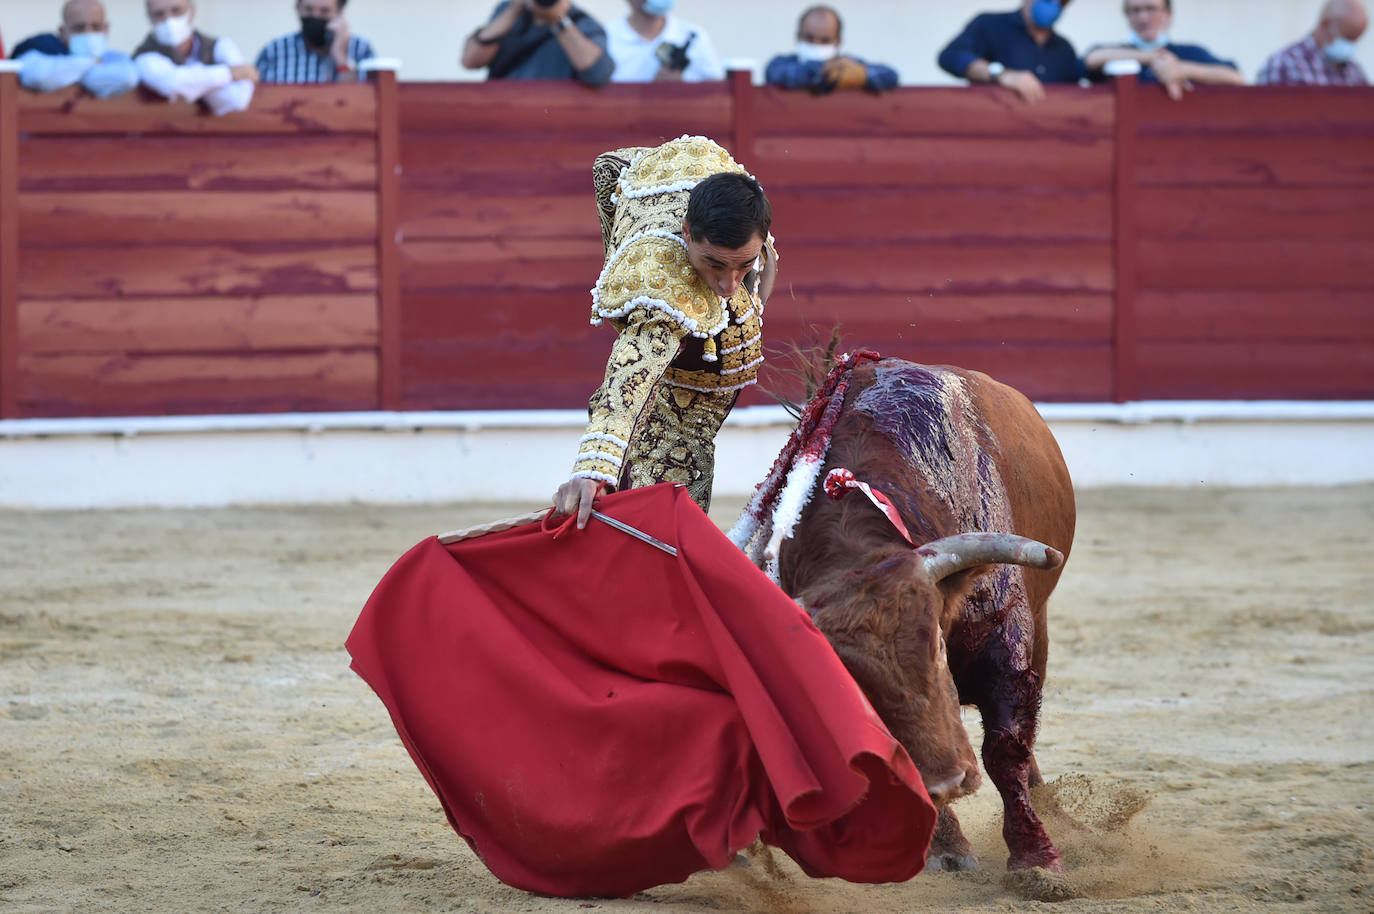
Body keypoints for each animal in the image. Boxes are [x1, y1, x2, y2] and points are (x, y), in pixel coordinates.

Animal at [736, 351, 1077, 874]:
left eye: (936, 643)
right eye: (851, 680)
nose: (948, 782)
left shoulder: (1005, 642)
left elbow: (1005, 748)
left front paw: (1036, 859)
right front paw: (947, 848)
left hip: (1038, 627)